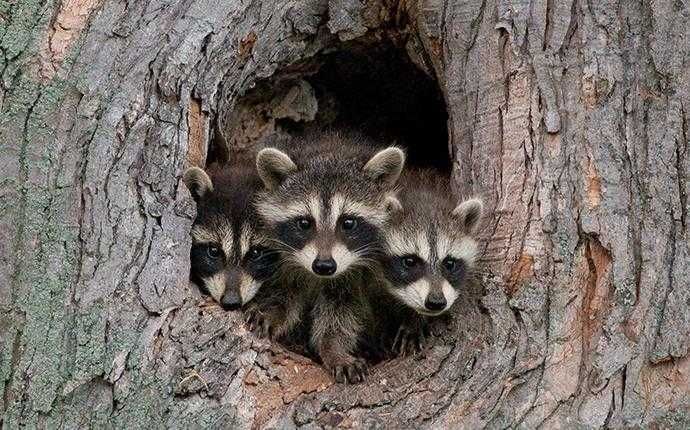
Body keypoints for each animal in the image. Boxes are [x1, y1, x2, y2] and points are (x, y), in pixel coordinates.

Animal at [253, 130, 405, 383]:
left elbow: (340, 313)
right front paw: (273, 311)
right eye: (304, 223)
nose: (324, 265)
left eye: (348, 223)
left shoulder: (352, 275)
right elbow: (284, 290)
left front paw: (334, 349)